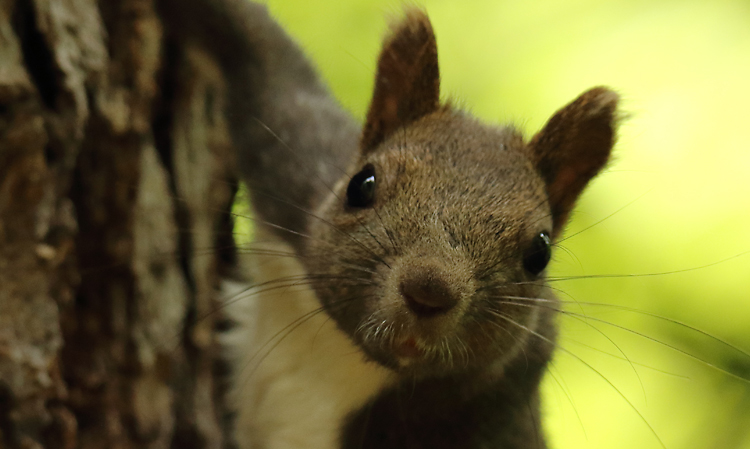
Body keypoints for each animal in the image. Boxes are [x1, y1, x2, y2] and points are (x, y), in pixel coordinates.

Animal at [160, 0, 624, 448]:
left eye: (540, 252)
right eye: (361, 185)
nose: (429, 291)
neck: (344, 357)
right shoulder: (298, 158)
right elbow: (265, 59)